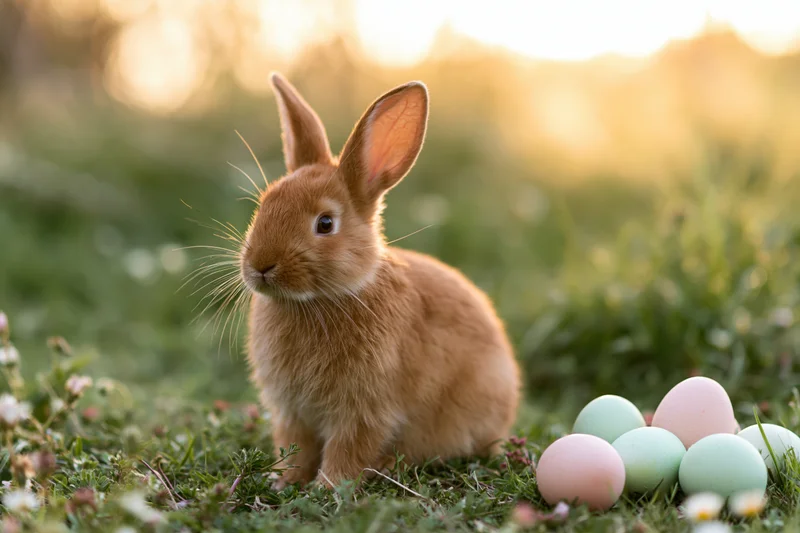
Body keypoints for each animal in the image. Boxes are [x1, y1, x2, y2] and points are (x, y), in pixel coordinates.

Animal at [242, 72, 521, 489]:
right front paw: (284, 481)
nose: (260, 265)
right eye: (264, 205)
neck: (324, 298)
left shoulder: (366, 410)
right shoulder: (292, 412)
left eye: (325, 224)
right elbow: (296, 448)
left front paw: (326, 488)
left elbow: (348, 450)